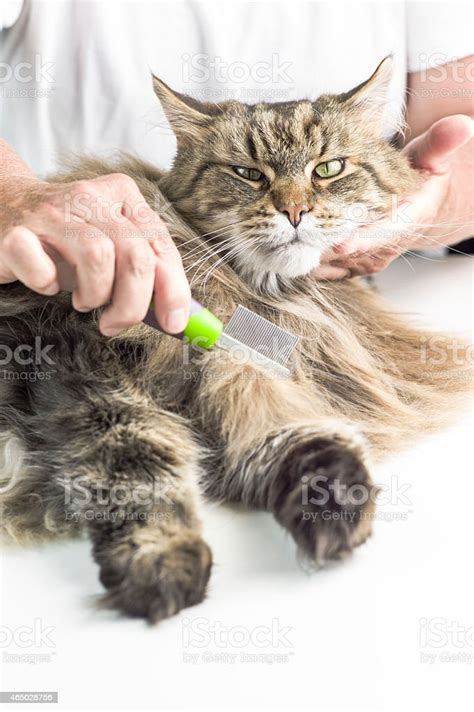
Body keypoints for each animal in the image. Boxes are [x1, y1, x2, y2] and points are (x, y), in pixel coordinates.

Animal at [0, 57, 468, 624]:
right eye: (249, 174)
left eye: (327, 169)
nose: (294, 211)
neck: (266, 296)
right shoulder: (74, 358)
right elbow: (138, 459)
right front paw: (161, 562)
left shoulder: (251, 379)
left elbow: (297, 436)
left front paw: (334, 507)